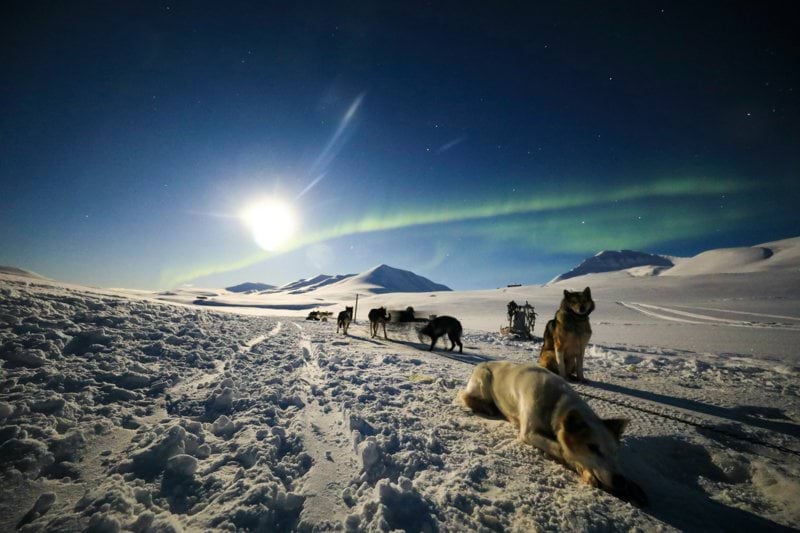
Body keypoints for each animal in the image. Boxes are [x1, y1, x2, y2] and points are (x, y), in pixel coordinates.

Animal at [460, 360, 648, 504]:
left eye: (616, 452)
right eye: (592, 448)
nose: (619, 481)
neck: (556, 401)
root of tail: (482, 363)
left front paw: (631, 485)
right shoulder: (529, 433)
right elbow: (561, 449)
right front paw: (583, 469)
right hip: (484, 381)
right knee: (465, 396)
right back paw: (488, 407)